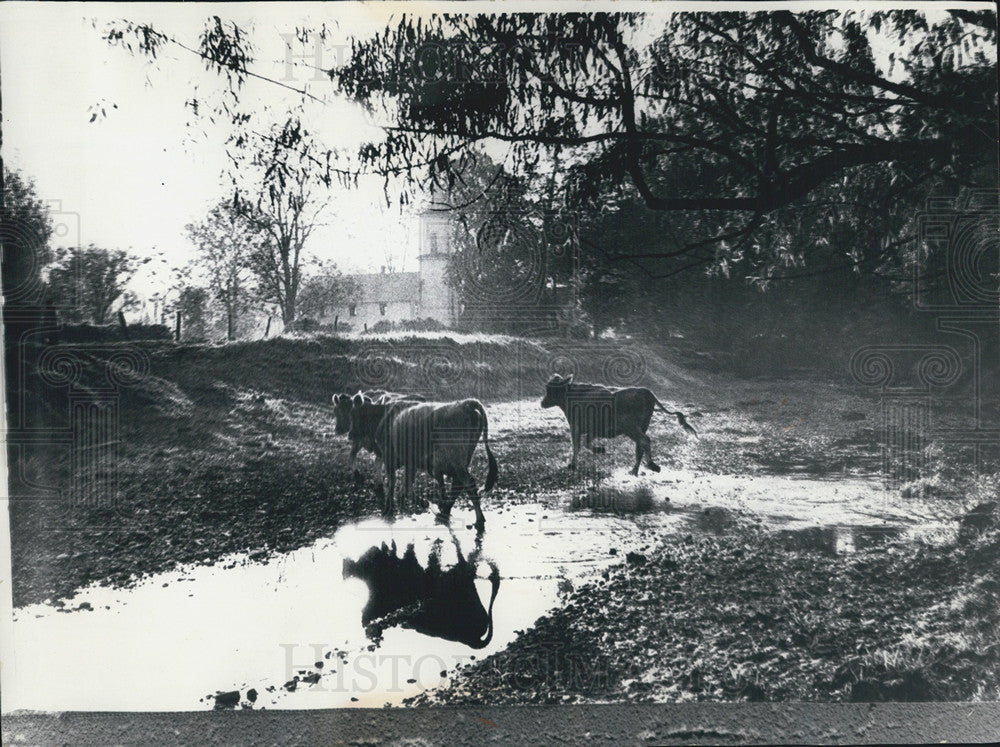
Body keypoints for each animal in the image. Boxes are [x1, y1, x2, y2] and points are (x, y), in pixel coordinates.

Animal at [376, 404, 500, 532]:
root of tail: (463, 404)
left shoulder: (392, 459)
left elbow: (393, 483)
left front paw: (389, 508)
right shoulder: (412, 463)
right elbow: (407, 484)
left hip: (456, 460)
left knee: (467, 483)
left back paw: (478, 520)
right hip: (461, 459)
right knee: (459, 483)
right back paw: (446, 511)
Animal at [540, 376, 696, 476]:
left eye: (551, 389)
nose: (542, 402)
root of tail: (646, 392)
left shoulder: (576, 427)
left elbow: (577, 446)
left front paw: (573, 464)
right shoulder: (592, 430)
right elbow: (586, 444)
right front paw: (600, 449)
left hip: (631, 428)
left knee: (644, 441)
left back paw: (650, 465)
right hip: (641, 427)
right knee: (641, 445)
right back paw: (635, 470)